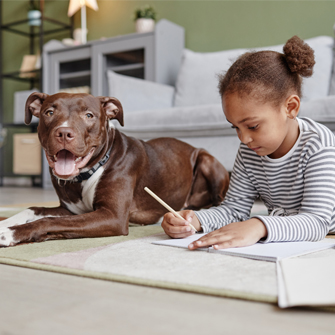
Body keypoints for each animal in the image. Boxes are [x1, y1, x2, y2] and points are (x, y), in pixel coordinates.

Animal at [0, 92, 230, 247]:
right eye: (49, 112)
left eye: (89, 115)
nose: (64, 133)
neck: (87, 173)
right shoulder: (71, 210)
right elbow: (34, 209)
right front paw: (6, 222)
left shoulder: (113, 216)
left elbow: (48, 221)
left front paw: (10, 233)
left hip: (206, 160)